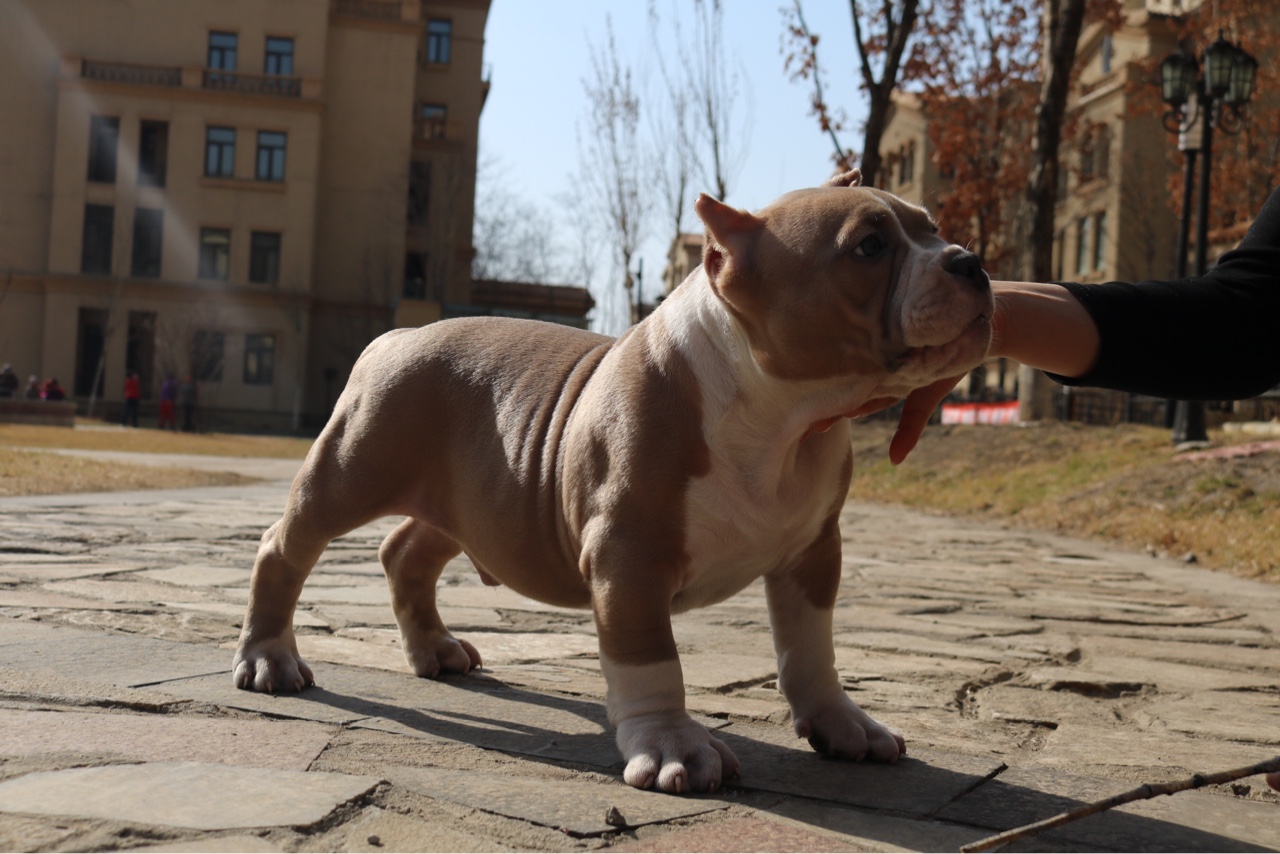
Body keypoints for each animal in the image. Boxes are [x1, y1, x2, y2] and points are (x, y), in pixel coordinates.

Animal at [235, 170, 993, 798]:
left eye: (934, 228)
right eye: (869, 246)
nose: (971, 261)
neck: (786, 420)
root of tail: (394, 337)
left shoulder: (813, 552)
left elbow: (812, 648)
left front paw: (843, 722)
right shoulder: (630, 556)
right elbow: (650, 658)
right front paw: (672, 747)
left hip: (466, 503)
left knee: (406, 554)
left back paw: (435, 649)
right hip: (351, 470)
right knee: (285, 545)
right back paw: (270, 657)